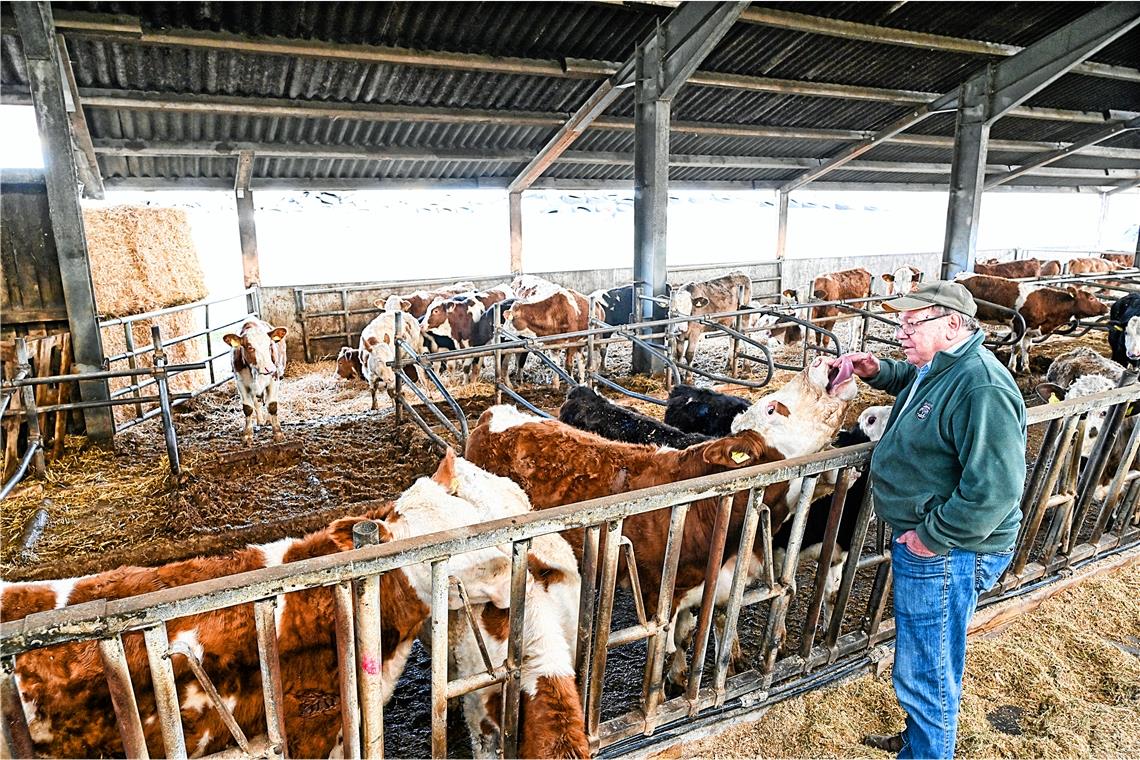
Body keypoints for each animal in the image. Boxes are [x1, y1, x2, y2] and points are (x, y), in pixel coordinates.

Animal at [221, 316, 285, 446]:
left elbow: (272, 405)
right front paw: (247, 435)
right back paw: (260, 420)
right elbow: (248, 408)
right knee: (257, 402)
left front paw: (278, 433)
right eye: (250, 347)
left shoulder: (274, 379)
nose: (269, 368)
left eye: (270, 345)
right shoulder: (241, 383)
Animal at [957, 276, 1108, 378]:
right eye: (1091, 298)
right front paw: (1012, 369)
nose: (1106, 307)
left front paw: (1026, 369)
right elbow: (1016, 347)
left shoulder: (1030, 330)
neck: (1046, 303)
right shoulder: (1018, 326)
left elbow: (1027, 349)